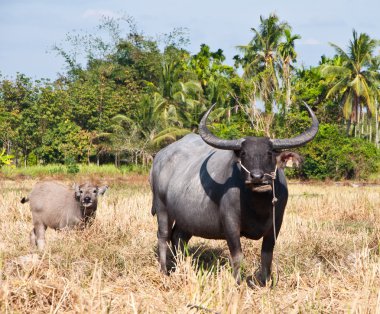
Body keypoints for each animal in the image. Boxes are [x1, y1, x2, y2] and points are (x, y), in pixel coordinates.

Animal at [150, 104, 320, 286]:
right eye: (244, 154)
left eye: (269, 153)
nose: (257, 177)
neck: (258, 206)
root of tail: (158, 158)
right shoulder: (230, 222)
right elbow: (237, 255)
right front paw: (237, 283)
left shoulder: (276, 223)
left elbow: (267, 256)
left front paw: (265, 283)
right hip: (161, 208)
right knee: (163, 236)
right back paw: (164, 271)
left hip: (186, 218)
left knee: (178, 237)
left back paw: (181, 268)